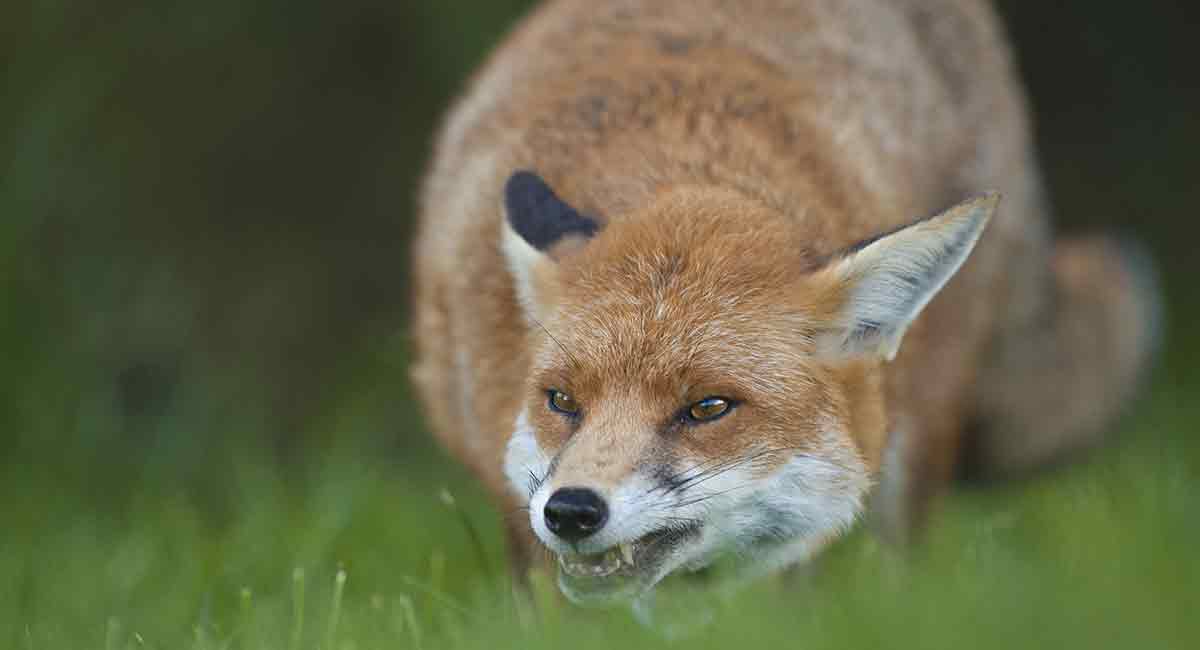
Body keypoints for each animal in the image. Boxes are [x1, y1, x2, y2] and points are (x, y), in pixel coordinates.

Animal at [408, 0, 1156, 611]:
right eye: (562, 401)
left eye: (708, 408)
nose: (571, 511)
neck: (682, 145)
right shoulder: (514, 503)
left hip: (919, 441)